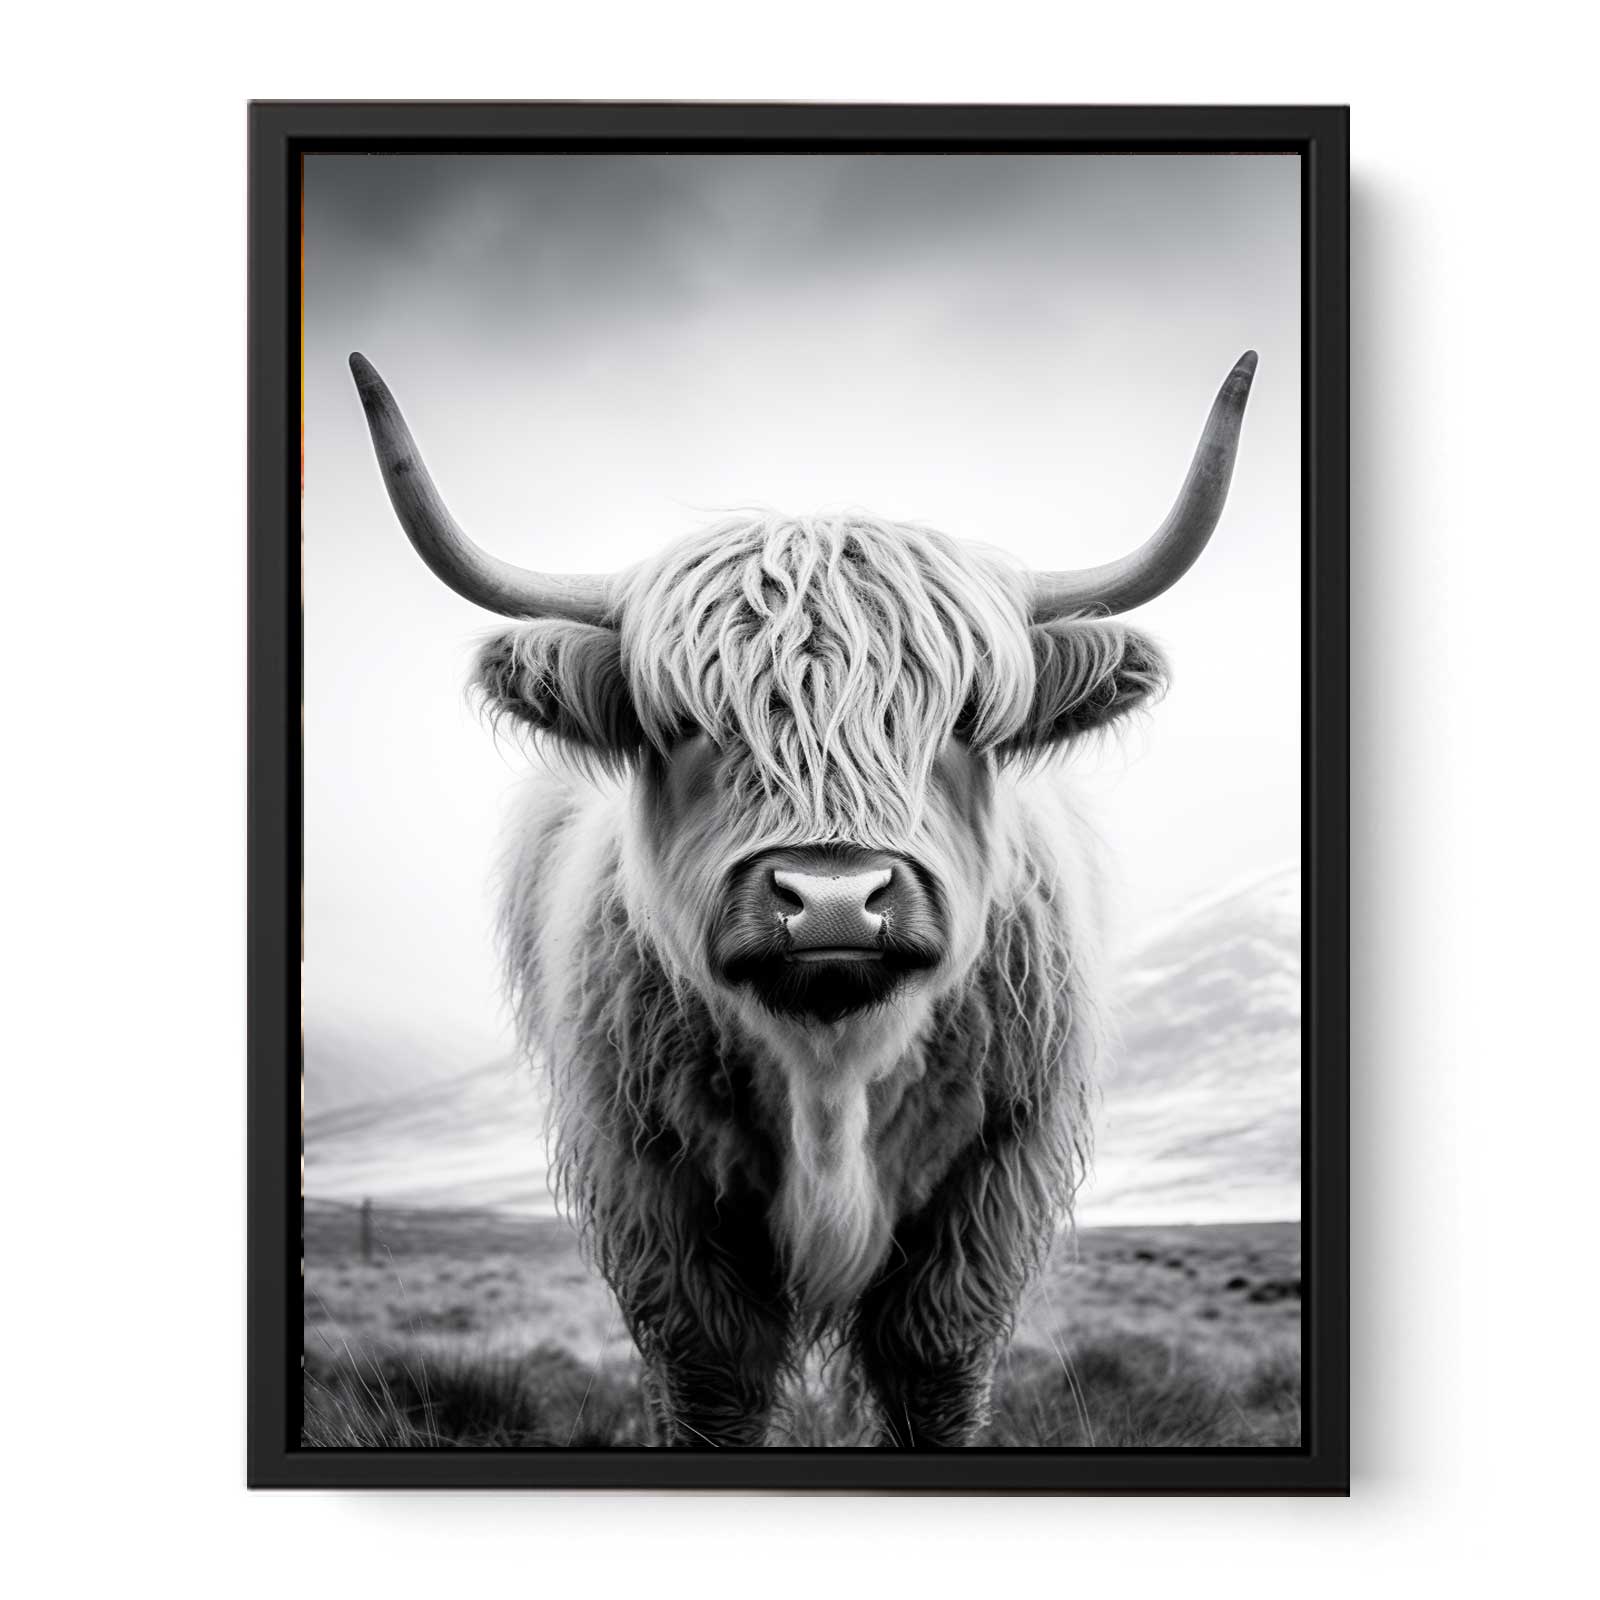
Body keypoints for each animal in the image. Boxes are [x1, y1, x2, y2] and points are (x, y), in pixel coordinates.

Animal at [349, 349, 1257, 1447]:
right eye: (687, 723)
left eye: (963, 717)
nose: (832, 899)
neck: (832, 1068)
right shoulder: (653, 1188)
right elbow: (710, 1379)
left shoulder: (991, 1183)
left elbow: (932, 1369)